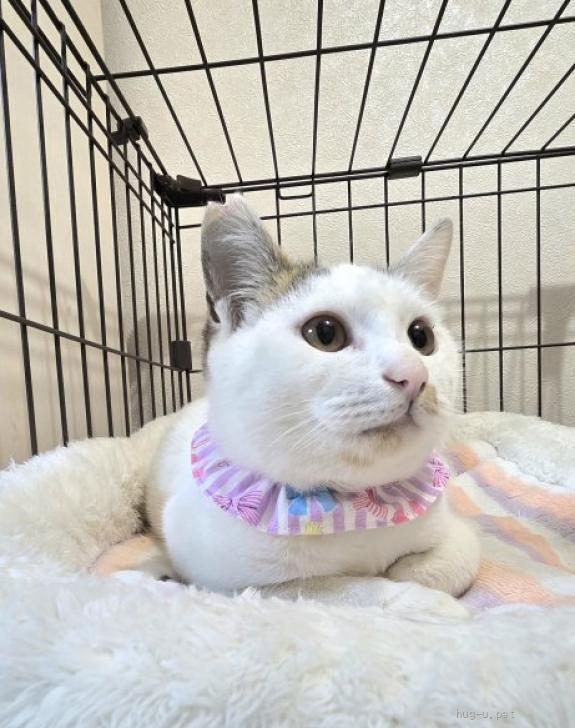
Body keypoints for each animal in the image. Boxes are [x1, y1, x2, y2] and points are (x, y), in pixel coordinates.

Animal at [146, 194, 479, 601]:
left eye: (421, 337)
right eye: (325, 333)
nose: (414, 376)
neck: (357, 506)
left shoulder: (454, 530)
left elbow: (456, 561)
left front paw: (408, 571)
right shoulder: (227, 579)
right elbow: (342, 586)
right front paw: (420, 599)